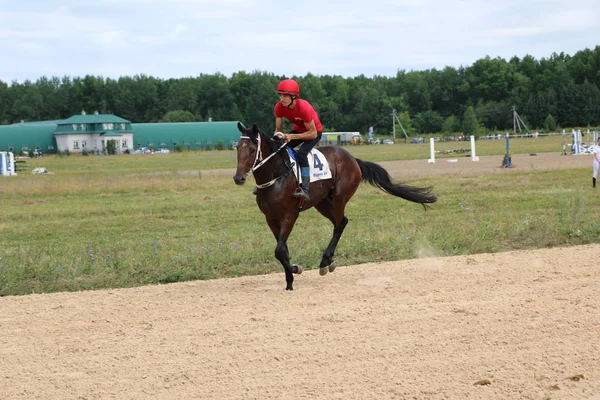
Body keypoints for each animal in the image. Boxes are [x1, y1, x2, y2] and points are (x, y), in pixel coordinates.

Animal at [233, 122, 436, 290]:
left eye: (252, 149)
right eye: (237, 148)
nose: (238, 178)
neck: (277, 177)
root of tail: (353, 159)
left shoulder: (290, 215)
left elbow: (279, 250)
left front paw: (294, 273)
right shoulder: (271, 219)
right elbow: (283, 251)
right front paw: (291, 276)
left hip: (339, 197)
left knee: (340, 224)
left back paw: (325, 261)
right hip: (322, 202)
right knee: (341, 222)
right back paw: (328, 260)